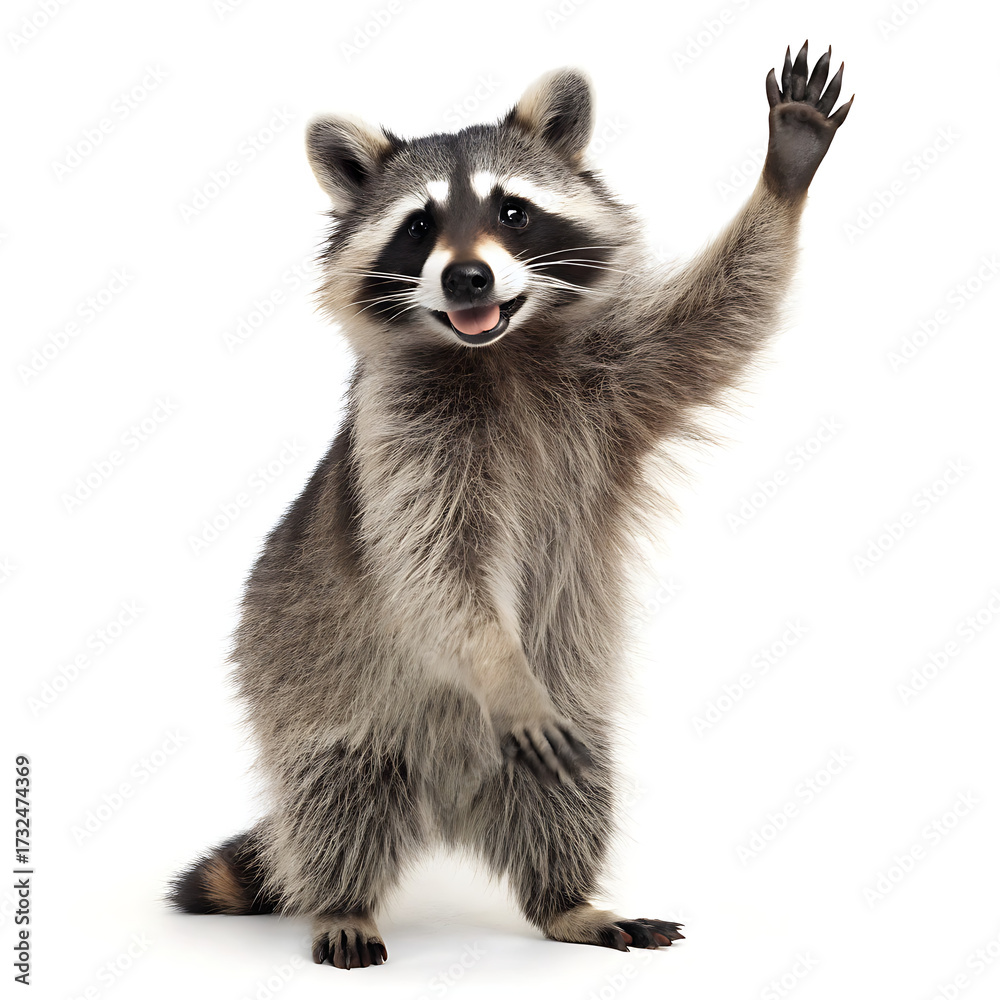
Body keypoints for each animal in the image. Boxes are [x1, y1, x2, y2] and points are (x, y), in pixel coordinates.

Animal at [170, 43, 852, 969]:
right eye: (418, 227)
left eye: (513, 210)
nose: (468, 276)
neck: (495, 349)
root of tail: (446, 809)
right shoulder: (404, 443)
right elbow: (438, 573)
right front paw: (504, 671)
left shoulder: (623, 379)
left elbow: (720, 320)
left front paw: (783, 176)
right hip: (309, 692)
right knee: (335, 799)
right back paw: (343, 899)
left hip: (571, 737)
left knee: (573, 798)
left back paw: (567, 901)